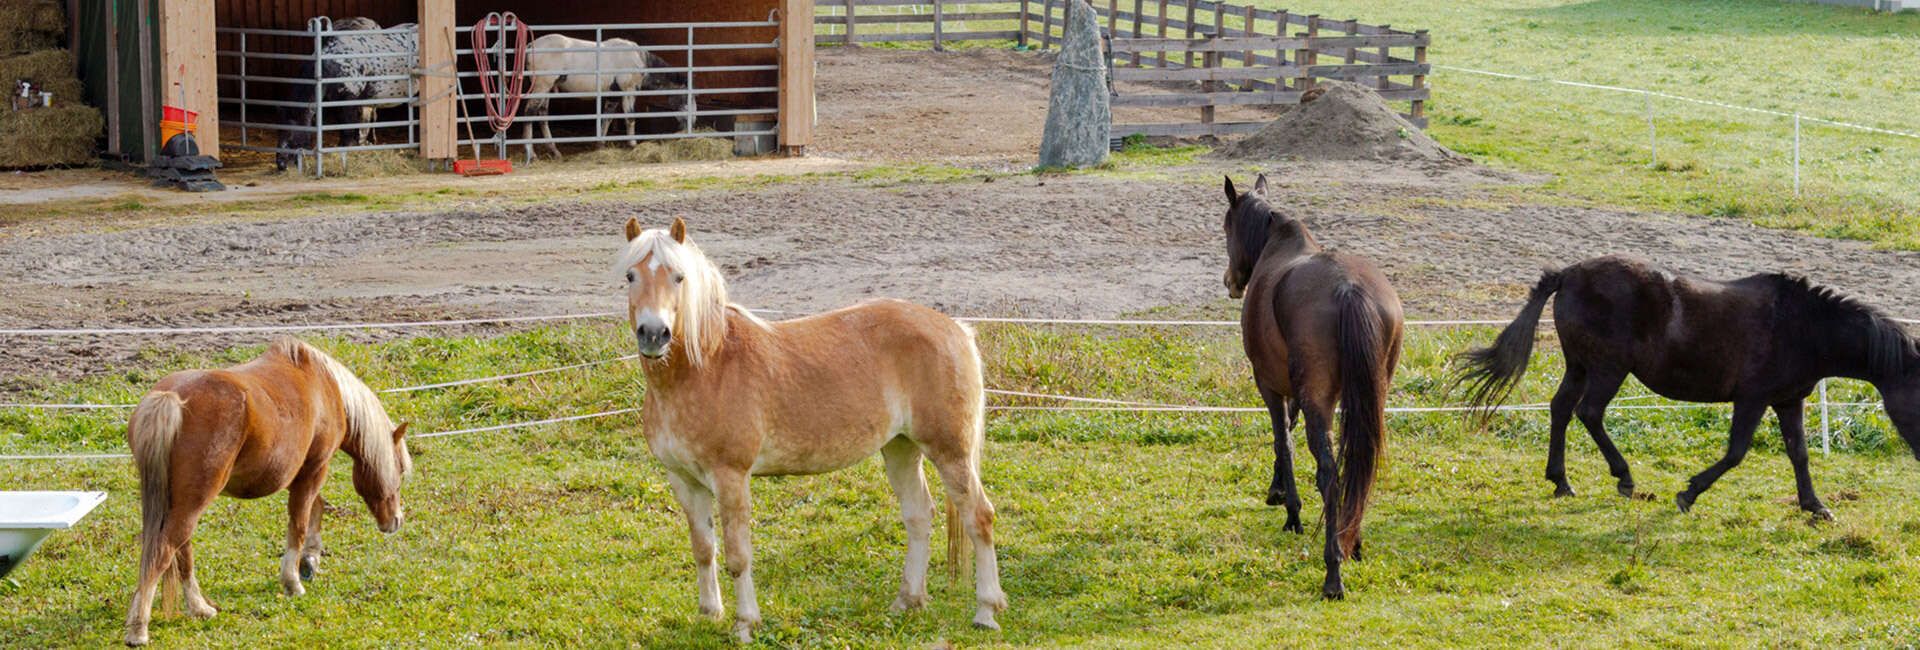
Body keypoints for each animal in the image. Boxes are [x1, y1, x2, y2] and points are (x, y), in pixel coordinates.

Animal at [121, 339, 414, 648]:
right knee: (165, 550)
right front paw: (293, 581)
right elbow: (299, 524)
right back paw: (139, 629)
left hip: (179, 502)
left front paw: (310, 561)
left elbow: (316, 510)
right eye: (400, 468)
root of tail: (171, 398)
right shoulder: (314, 469)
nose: (396, 520)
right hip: (193, 501)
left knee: (180, 549)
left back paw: (200, 608)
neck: (326, 387)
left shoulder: (305, 474)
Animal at [618, 217, 1013, 640]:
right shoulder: (684, 481)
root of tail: (955, 328)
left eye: (679, 277)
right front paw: (710, 613)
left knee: (979, 516)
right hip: (901, 448)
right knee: (919, 515)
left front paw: (745, 623)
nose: (654, 334)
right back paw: (907, 601)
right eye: (630, 275)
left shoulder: (730, 477)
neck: (707, 366)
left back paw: (986, 611)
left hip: (949, 451)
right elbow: (703, 549)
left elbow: (738, 555)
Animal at [1221, 174, 1405, 602]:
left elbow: (1282, 440)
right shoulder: (1299, 392)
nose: (1230, 283)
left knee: (1330, 474)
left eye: (1226, 227)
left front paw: (1291, 510)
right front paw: (1278, 491)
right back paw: (1352, 541)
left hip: (1318, 403)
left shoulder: (1269, 384)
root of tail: (1349, 289)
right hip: (1370, 398)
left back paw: (1333, 572)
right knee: (1360, 467)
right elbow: (1287, 431)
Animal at [1451, 255, 1920, 517]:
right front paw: (1688, 493)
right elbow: (1735, 453)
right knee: (1589, 413)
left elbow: (1799, 454)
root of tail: (1567, 274)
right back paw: (1624, 478)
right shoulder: (1752, 399)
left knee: (1561, 409)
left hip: (1580, 366)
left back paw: (1561, 482)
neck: (1801, 325)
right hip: (1608, 369)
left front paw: (1815, 506)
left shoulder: (1788, 402)